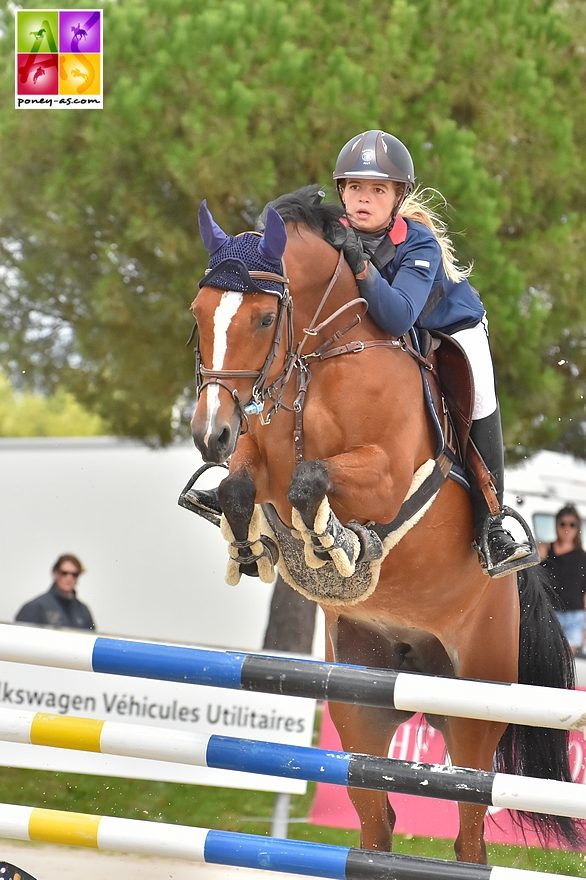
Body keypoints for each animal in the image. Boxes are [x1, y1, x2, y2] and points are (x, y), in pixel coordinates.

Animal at [185, 184, 576, 860]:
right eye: (199, 313)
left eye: (263, 319)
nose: (211, 435)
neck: (322, 354)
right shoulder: (260, 454)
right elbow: (243, 483)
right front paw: (253, 548)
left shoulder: (385, 475)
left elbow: (313, 480)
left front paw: (334, 543)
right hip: (361, 700)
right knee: (377, 821)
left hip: (473, 708)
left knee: (470, 831)